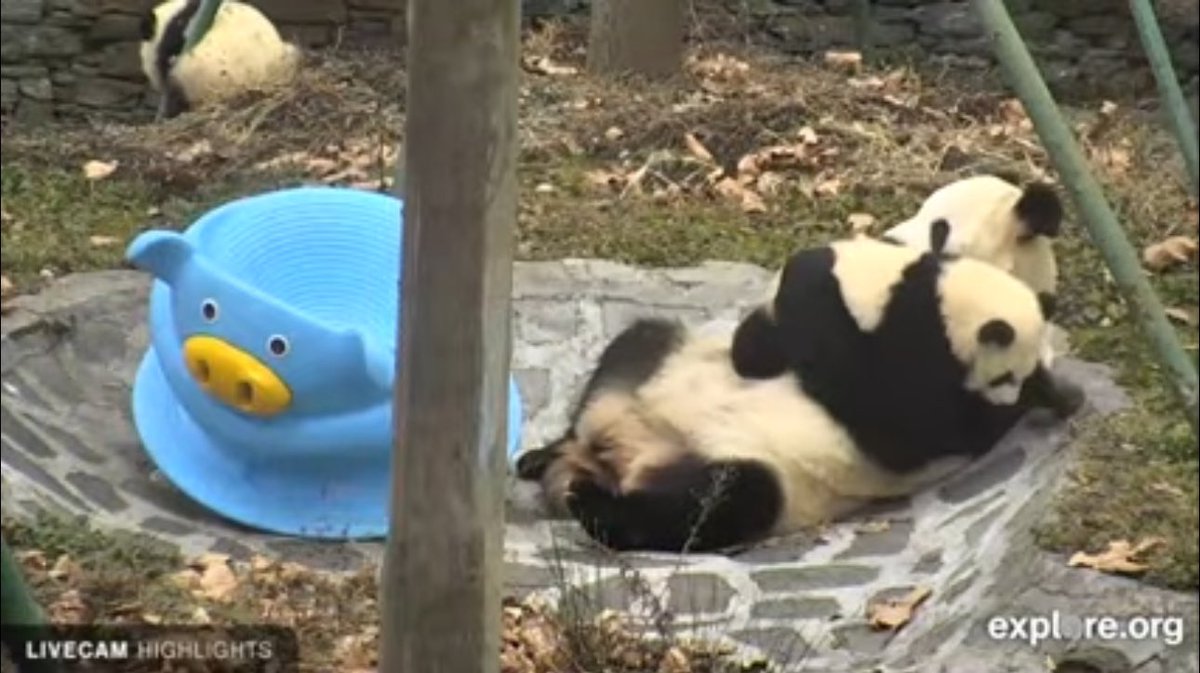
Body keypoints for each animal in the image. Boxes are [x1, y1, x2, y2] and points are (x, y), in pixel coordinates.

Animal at [517, 233, 1073, 553]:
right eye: (1006, 378)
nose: (1011, 398)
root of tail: (614, 456)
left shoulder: (922, 385)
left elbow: (886, 415)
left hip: (757, 474)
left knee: (723, 501)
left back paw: (591, 503)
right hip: (656, 367)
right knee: (638, 341)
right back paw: (543, 457)